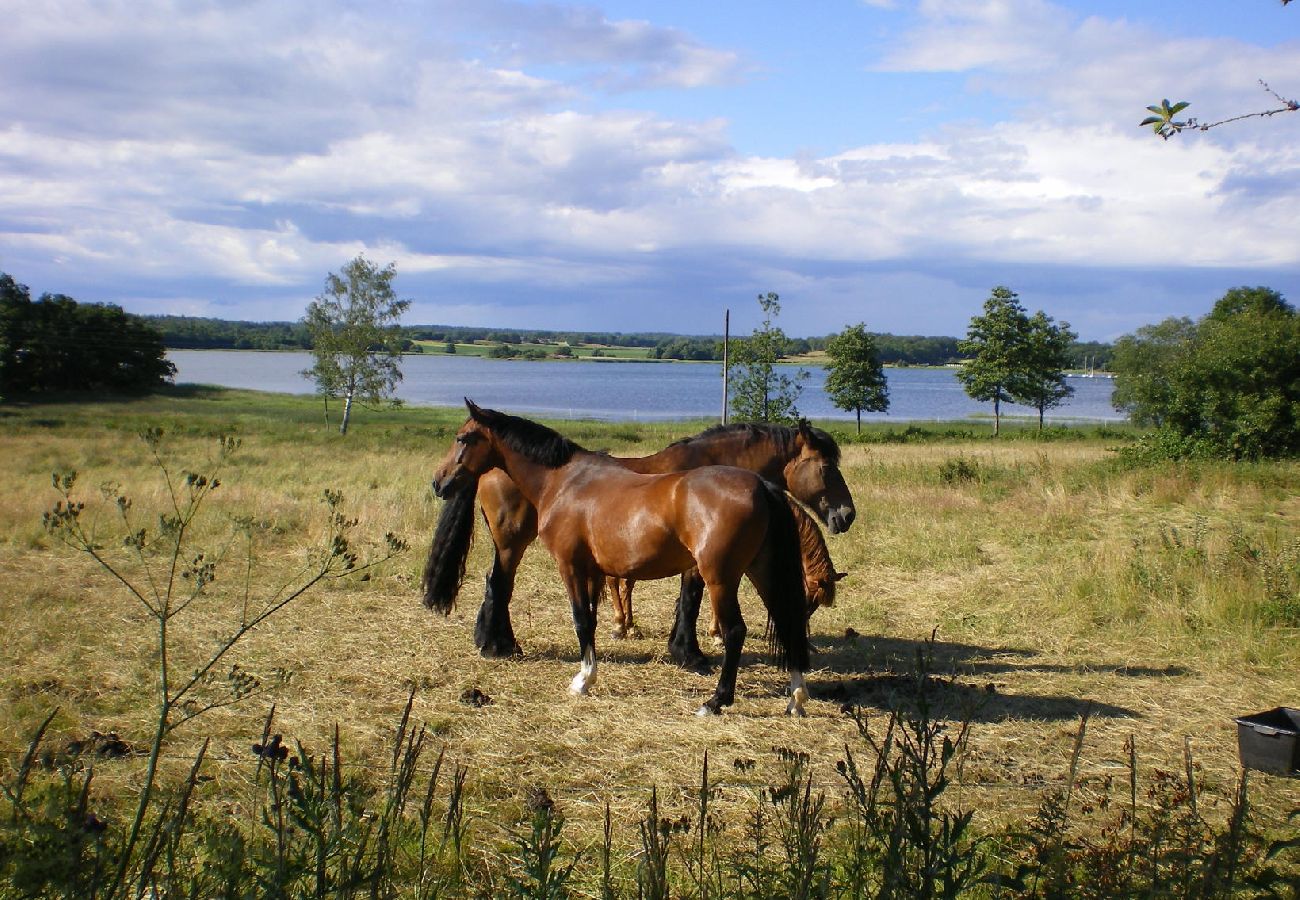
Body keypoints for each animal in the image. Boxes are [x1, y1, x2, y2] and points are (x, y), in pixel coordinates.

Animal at [426, 400, 811, 717]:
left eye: (463, 438)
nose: (438, 482)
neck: (563, 481)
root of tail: (761, 486)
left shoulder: (570, 566)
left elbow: (581, 621)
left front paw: (583, 680)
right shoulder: (592, 570)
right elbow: (593, 620)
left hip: (721, 578)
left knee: (735, 631)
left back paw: (716, 701)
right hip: (761, 571)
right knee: (788, 620)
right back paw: (796, 698)